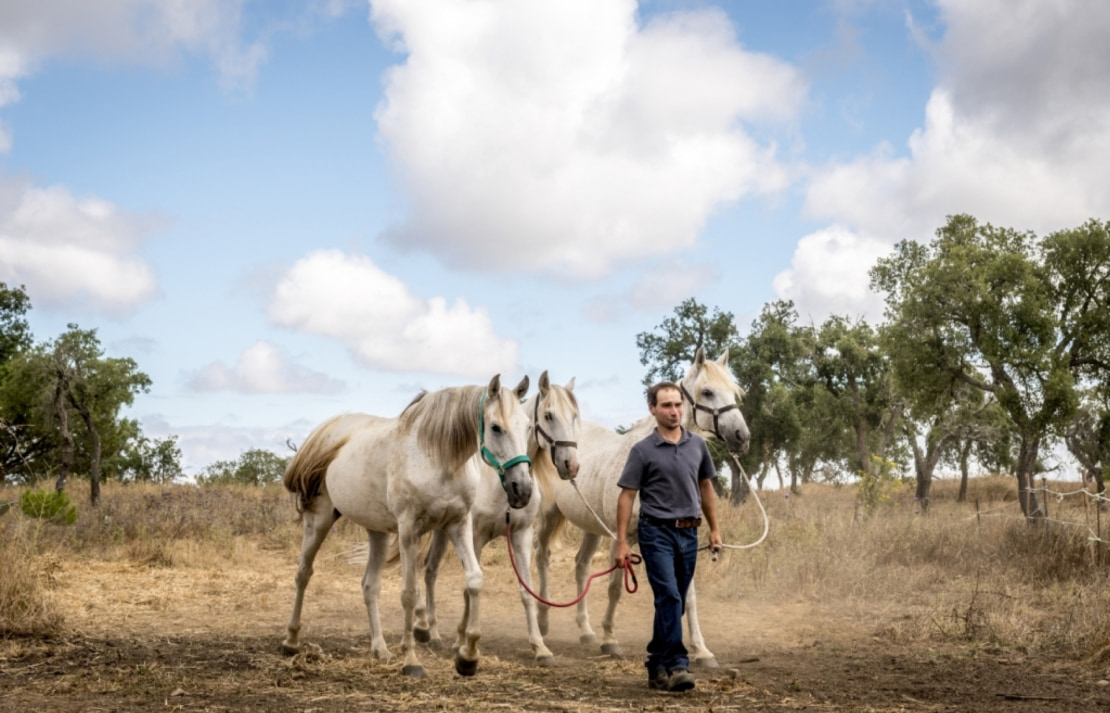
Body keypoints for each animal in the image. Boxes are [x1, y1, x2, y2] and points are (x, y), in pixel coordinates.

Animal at [281, 375, 532, 675]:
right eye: (495, 427)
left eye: (528, 427)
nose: (523, 490)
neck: (437, 457)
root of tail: (327, 431)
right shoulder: (409, 530)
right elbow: (410, 594)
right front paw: (411, 660)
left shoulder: (458, 525)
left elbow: (474, 579)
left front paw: (468, 656)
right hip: (319, 520)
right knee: (303, 573)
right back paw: (291, 641)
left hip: (377, 532)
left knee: (369, 585)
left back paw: (380, 649)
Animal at [410, 368, 581, 661]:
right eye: (549, 415)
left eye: (573, 416)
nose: (571, 465)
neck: (499, 483)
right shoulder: (475, 537)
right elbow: (468, 589)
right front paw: (462, 640)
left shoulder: (522, 536)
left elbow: (526, 590)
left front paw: (539, 646)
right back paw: (427, 629)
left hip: (444, 530)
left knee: (430, 571)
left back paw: (433, 632)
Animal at [535, 348, 750, 666]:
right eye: (708, 391)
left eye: (733, 391)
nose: (741, 436)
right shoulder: (620, 537)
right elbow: (614, 588)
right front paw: (610, 640)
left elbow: (689, 596)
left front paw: (702, 650)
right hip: (550, 517)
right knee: (543, 559)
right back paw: (543, 623)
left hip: (592, 527)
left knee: (581, 566)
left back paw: (586, 631)